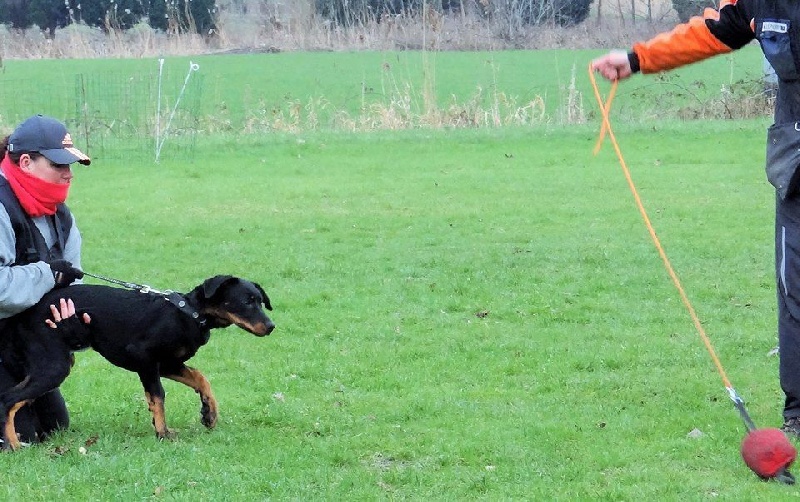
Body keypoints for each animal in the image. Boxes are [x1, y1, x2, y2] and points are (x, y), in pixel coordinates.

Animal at [0, 276, 276, 450]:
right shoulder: (145, 359)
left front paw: (209, 413)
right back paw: (13, 444)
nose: (271, 326)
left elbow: (200, 377)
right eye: (246, 301)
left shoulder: (168, 364)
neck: (189, 314)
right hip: (54, 366)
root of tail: (23, 314)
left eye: (261, 300)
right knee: (9, 399)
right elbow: (158, 396)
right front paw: (163, 433)